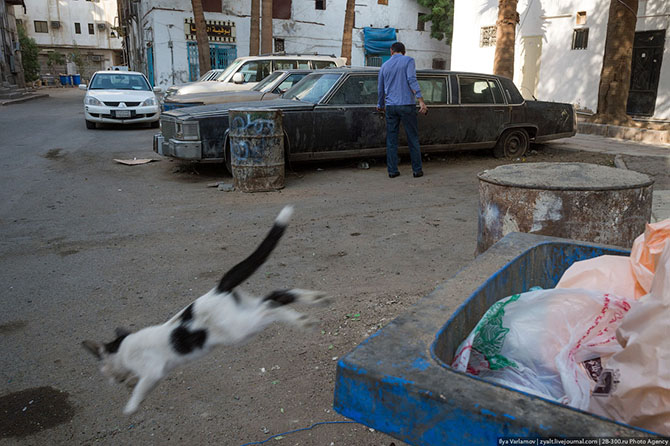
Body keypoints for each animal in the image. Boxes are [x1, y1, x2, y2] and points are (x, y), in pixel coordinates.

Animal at [82, 206, 330, 414]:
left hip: (241, 329)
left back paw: (304, 319)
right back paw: (317, 299)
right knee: (276, 295)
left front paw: (130, 407)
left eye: (101, 366)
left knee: (270, 307)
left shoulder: (152, 371)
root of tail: (218, 289)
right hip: (246, 312)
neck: (123, 347)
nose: (109, 379)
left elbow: (140, 389)